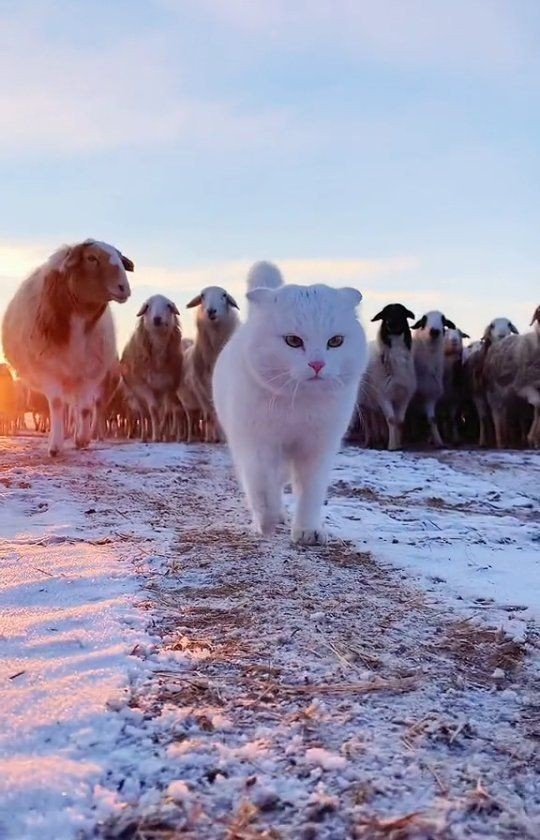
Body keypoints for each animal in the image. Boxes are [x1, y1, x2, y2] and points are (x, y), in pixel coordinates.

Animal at [0, 240, 133, 456]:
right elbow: (56, 405)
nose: (124, 288)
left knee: (81, 407)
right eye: (91, 258)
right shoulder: (49, 371)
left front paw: (82, 439)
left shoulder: (89, 372)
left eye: (121, 260)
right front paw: (55, 446)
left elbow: (85, 409)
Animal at [120, 294, 184, 442]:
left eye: (168, 306)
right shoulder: (144, 386)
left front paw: (163, 434)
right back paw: (145, 435)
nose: (157, 319)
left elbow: (165, 412)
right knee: (144, 415)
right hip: (136, 396)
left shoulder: (168, 386)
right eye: (147, 306)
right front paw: (155, 435)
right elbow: (153, 410)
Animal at [179, 286, 238, 442]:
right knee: (192, 420)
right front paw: (215, 438)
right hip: (188, 403)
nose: (211, 311)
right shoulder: (201, 389)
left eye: (224, 295)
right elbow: (210, 416)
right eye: (202, 296)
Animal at [212, 266, 368, 548]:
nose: (317, 364)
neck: (298, 406)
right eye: (293, 341)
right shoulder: (258, 445)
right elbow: (262, 485)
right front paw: (267, 521)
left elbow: (310, 492)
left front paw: (308, 531)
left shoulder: (318, 449)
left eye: (336, 341)